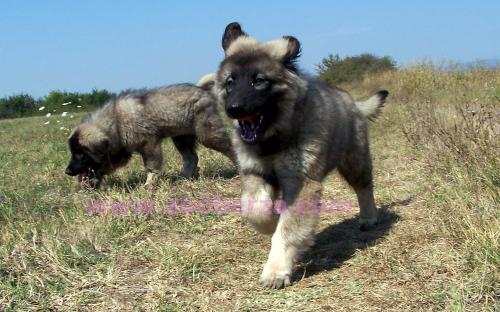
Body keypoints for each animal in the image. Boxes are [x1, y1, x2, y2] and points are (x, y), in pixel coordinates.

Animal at [213, 23, 388, 288]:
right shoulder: (255, 172)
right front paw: (270, 222)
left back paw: (369, 217)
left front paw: (276, 270)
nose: (233, 109)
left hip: (354, 162)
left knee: (364, 188)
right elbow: (257, 209)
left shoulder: (301, 182)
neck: (274, 139)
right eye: (230, 82)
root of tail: (353, 103)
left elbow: (287, 231)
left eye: (259, 81)